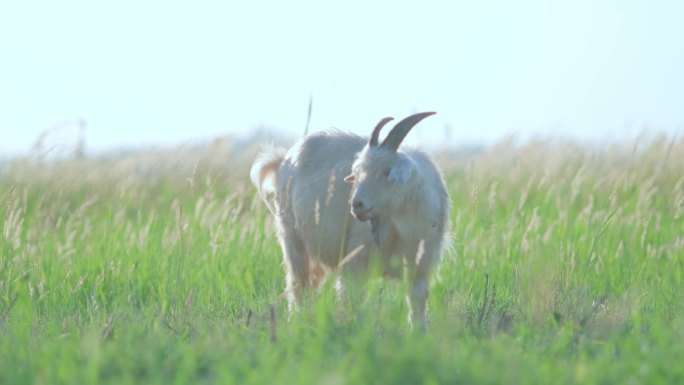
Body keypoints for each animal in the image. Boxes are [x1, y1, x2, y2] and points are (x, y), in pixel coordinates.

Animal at [250, 110, 448, 328]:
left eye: (387, 170)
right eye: (357, 173)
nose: (357, 204)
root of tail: (283, 159)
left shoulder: (422, 263)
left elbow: (418, 298)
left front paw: (418, 331)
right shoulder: (356, 259)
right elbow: (352, 297)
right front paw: (352, 327)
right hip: (292, 238)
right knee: (298, 284)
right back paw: (297, 320)